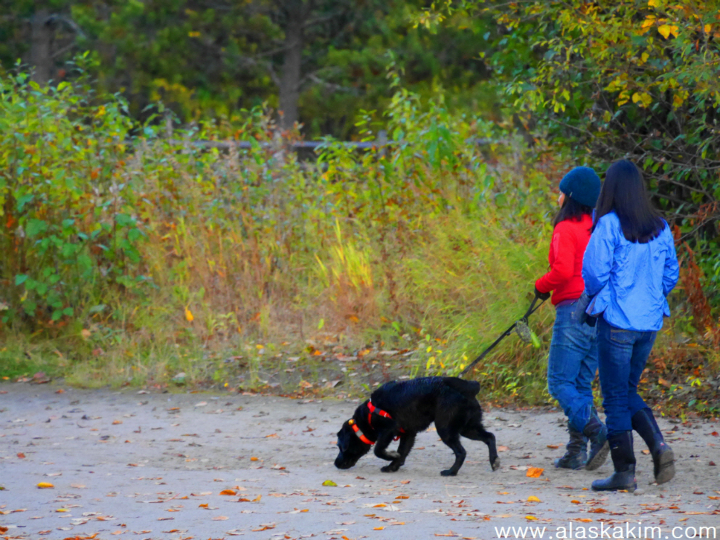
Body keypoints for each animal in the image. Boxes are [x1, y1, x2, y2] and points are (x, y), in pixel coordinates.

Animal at [334, 376, 500, 476]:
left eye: (341, 447)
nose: (336, 463)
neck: (366, 418)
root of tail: (468, 386)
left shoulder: (388, 430)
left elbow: (378, 450)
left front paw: (391, 456)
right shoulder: (408, 434)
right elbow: (403, 452)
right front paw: (393, 466)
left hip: (445, 429)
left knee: (461, 452)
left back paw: (451, 472)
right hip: (468, 428)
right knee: (490, 437)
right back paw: (494, 461)